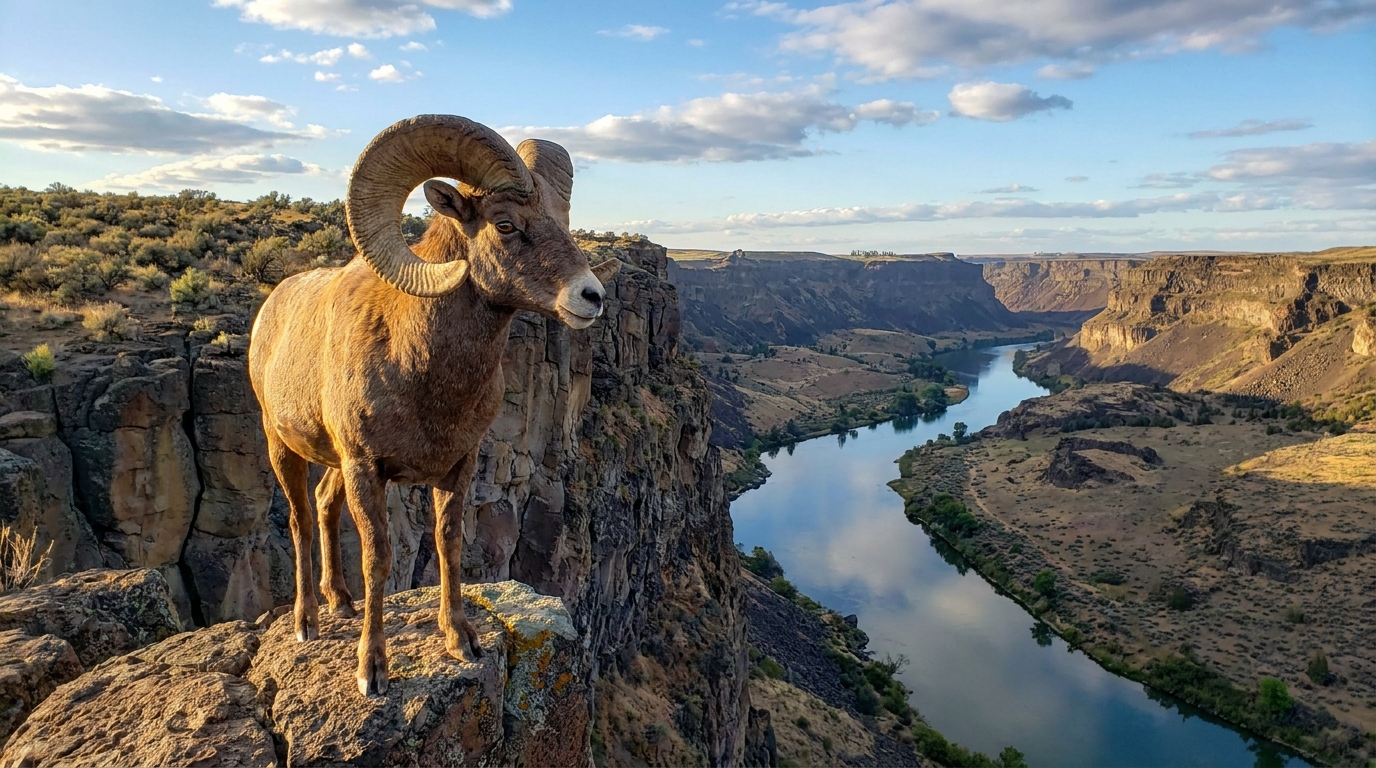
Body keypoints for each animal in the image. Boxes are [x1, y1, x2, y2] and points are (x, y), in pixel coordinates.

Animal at [248, 115, 620, 696]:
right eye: (506, 224)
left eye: (562, 220)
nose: (591, 297)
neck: (416, 364)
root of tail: (269, 310)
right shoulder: (367, 470)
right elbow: (379, 558)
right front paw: (372, 670)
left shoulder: (457, 466)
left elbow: (449, 544)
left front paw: (459, 639)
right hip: (282, 446)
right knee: (301, 519)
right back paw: (307, 621)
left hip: (334, 464)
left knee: (325, 506)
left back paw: (341, 602)